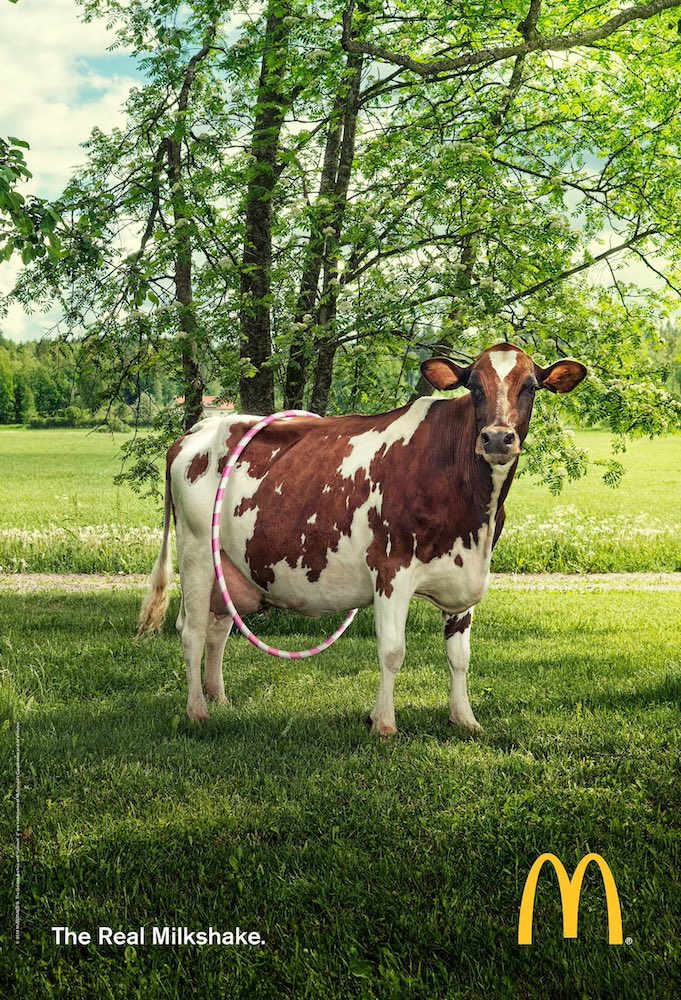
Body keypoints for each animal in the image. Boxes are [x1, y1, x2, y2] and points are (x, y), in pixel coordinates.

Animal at [138, 343, 586, 736]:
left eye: (531, 386)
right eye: (473, 385)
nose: (496, 438)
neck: (473, 512)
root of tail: (200, 427)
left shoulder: (466, 573)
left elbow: (460, 657)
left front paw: (465, 719)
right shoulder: (392, 570)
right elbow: (392, 651)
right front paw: (384, 723)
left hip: (227, 567)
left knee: (217, 627)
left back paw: (219, 698)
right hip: (196, 550)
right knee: (192, 629)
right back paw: (197, 710)